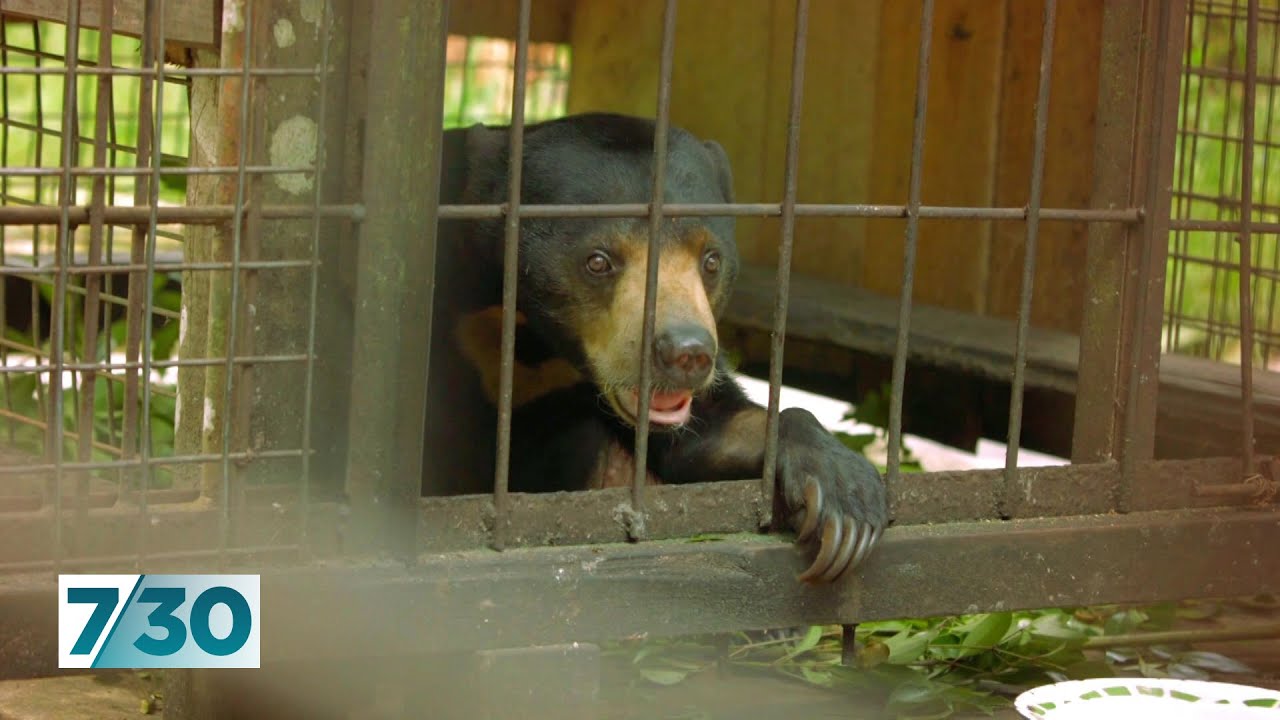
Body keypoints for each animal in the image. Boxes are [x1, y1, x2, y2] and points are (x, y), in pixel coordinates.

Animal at [423, 112, 887, 583]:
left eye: (711, 260)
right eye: (598, 261)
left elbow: (709, 433)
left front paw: (844, 499)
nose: (686, 353)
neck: (534, 337)